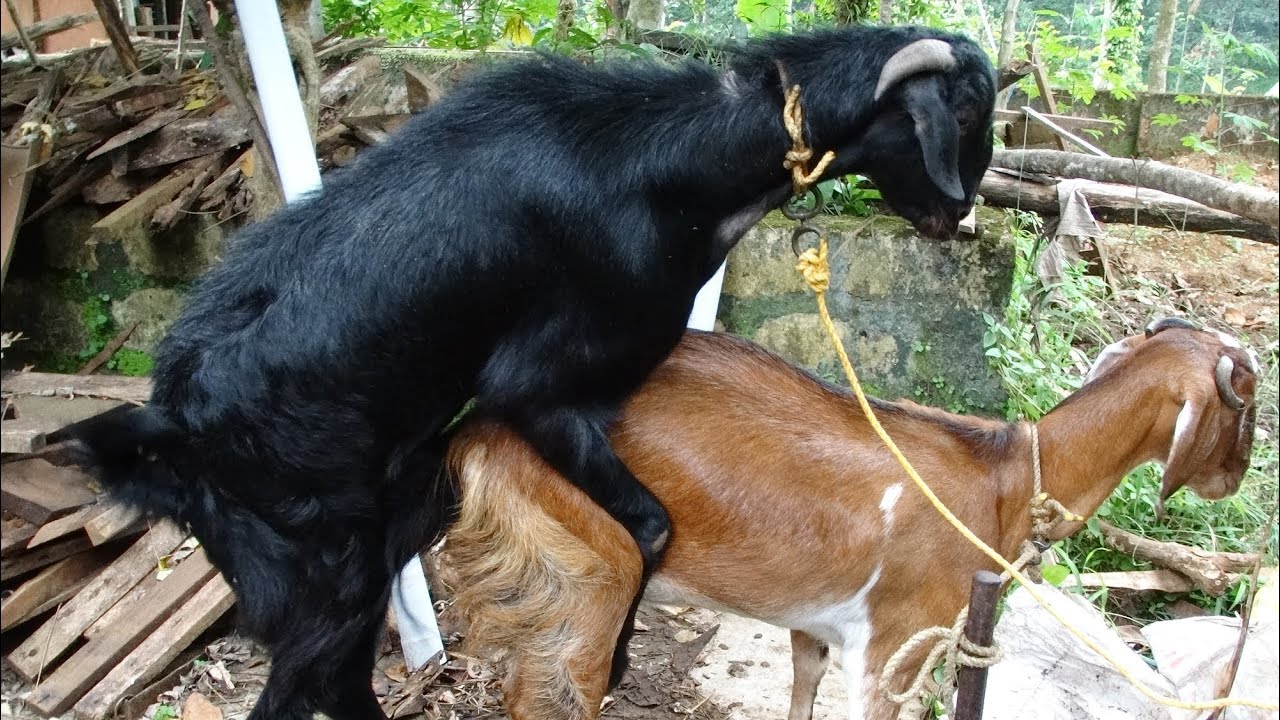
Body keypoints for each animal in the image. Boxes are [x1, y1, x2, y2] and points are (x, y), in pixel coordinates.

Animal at [52, 26, 995, 720]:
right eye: (963, 118)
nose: (959, 218)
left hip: (389, 511)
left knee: (322, 678)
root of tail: (166, 432)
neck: (668, 166)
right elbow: (650, 527)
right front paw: (615, 660)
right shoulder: (537, 390)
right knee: (306, 682)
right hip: (317, 563)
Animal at [442, 319, 1260, 720]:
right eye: (1246, 398)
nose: (1235, 477)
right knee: (558, 693)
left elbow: (801, 694)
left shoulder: (815, 625)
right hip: (592, 568)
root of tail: (482, 429)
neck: (1007, 480)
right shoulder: (896, 646)